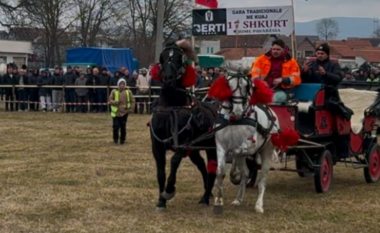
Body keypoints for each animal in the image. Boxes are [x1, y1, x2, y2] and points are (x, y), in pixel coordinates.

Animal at [151, 40, 218, 211]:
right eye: (162, 56)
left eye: (180, 58)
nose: (168, 78)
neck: (171, 108)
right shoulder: (157, 146)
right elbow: (160, 173)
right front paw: (161, 201)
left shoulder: (182, 145)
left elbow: (174, 162)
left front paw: (169, 191)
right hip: (194, 150)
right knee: (202, 166)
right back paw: (207, 193)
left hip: (211, 147)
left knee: (212, 168)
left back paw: (206, 197)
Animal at [208, 75, 282, 215]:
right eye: (229, 85)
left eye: (246, 87)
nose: (238, 111)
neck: (233, 121)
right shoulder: (220, 145)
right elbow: (220, 172)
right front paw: (218, 202)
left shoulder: (249, 145)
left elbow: (236, 152)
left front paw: (234, 175)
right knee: (246, 173)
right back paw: (238, 199)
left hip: (267, 151)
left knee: (262, 180)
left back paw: (259, 205)